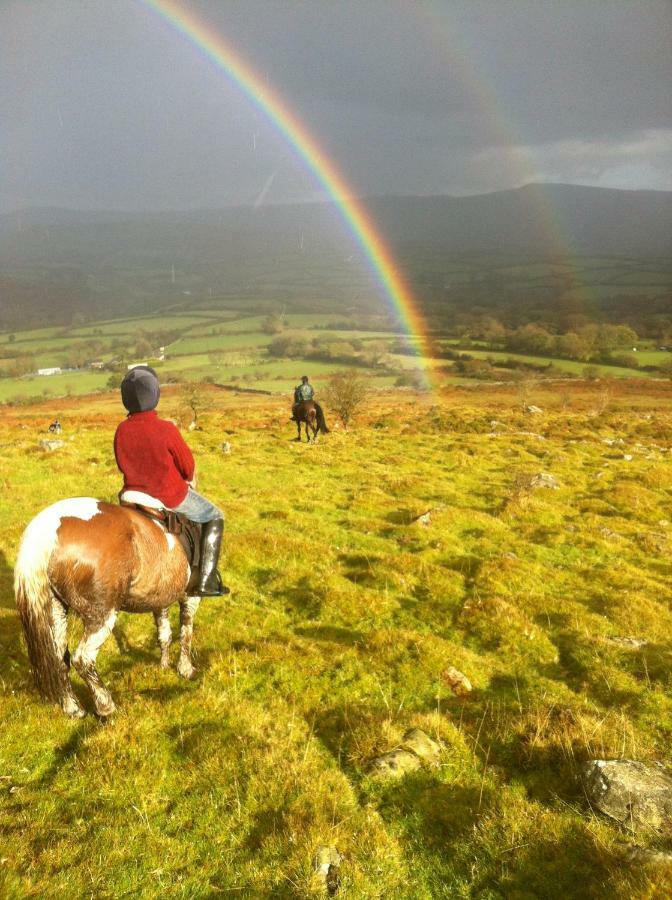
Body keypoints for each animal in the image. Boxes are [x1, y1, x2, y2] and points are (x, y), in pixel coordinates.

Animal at [14, 496, 201, 720]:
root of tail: (46, 531)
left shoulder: (160, 598)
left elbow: (165, 633)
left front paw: (163, 666)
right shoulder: (191, 595)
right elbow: (186, 630)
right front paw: (186, 670)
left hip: (55, 609)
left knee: (59, 658)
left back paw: (74, 709)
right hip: (103, 614)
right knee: (83, 659)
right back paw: (106, 707)